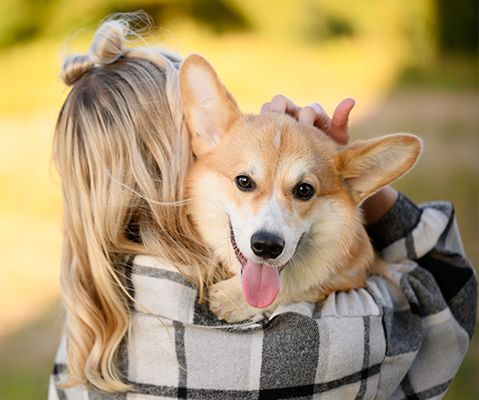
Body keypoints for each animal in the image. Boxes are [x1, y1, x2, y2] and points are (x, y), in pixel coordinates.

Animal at [178, 54, 422, 322]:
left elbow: (298, 286)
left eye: (304, 190)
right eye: (243, 181)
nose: (267, 246)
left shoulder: (355, 272)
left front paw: (235, 298)